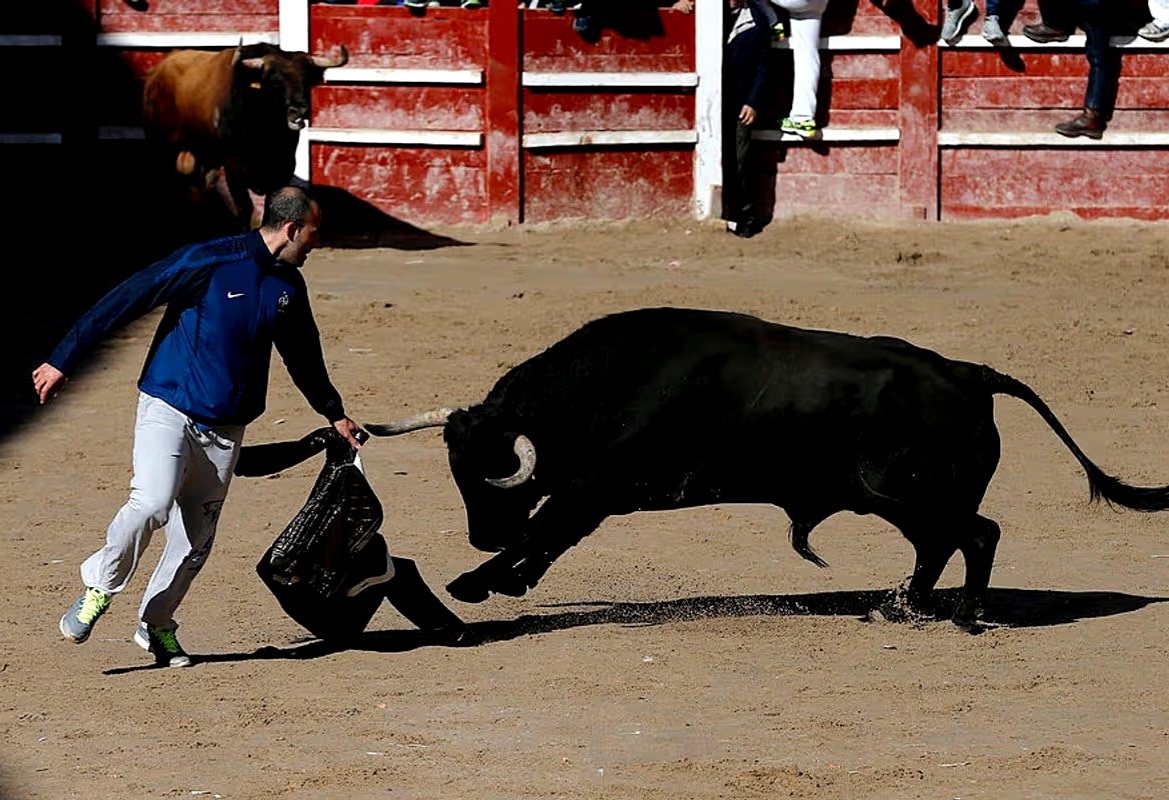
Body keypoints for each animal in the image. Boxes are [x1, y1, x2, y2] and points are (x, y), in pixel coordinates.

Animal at [142, 42, 348, 228]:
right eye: (275, 83)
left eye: (307, 80)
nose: (298, 111)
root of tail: (158, 70)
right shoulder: (234, 168)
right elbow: (245, 207)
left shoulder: (283, 167)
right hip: (159, 142)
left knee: (203, 185)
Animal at [367, 307, 1169, 629]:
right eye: (454, 472)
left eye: (491, 473)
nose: (478, 536)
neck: (603, 387)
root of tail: (970, 374)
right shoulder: (596, 493)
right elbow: (549, 537)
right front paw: (500, 578)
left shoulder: (598, 486)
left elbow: (544, 528)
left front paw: (476, 582)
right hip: (896, 500)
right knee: (942, 544)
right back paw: (895, 605)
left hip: (904, 493)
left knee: (975, 535)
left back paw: (962, 616)